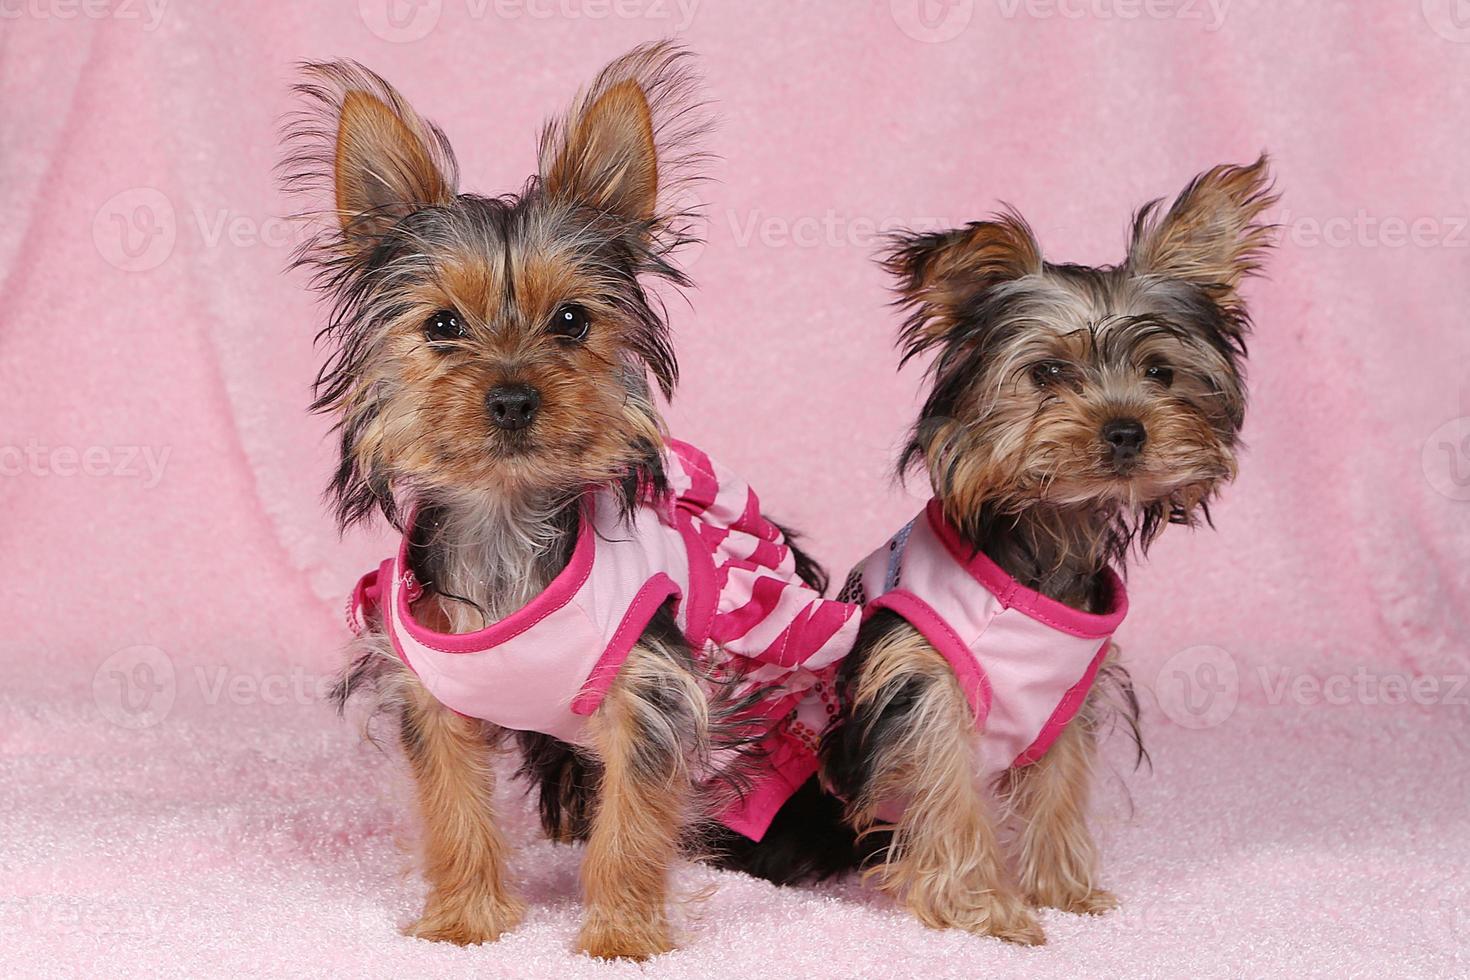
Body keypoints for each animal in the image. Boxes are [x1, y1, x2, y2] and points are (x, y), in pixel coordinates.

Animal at [283, 42, 858, 963]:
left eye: (571, 321)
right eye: (442, 326)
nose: (514, 397)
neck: (507, 518)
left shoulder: (651, 683)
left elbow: (638, 817)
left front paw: (623, 932)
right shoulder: (433, 694)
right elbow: (452, 805)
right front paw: (463, 922)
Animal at [829, 159, 1275, 940]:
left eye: (1160, 373)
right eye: (1046, 374)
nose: (1126, 429)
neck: (1047, 533)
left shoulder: (1070, 695)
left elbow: (1060, 782)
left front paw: (1064, 891)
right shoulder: (922, 683)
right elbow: (946, 788)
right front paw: (984, 909)